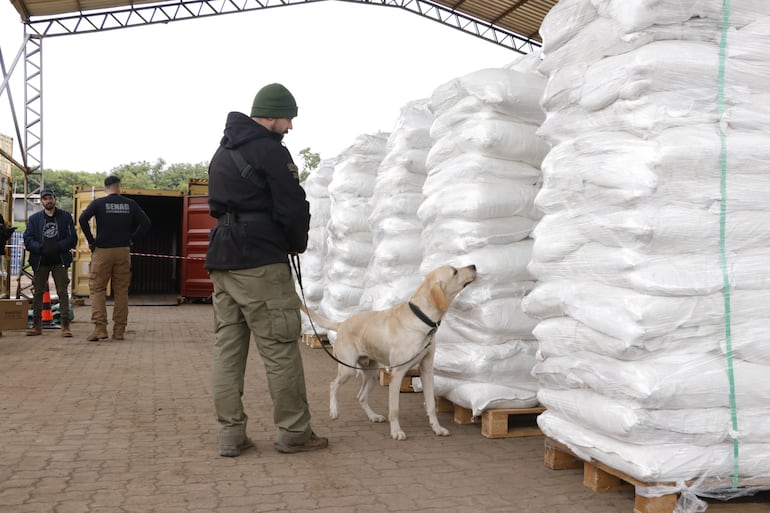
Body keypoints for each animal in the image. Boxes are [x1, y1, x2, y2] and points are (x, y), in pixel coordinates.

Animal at [300, 264, 474, 440]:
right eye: (455, 272)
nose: (473, 266)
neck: (421, 318)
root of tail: (341, 323)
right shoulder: (397, 373)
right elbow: (394, 409)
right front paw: (396, 431)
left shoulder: (426, 370)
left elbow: (431, 404)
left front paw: (437, 428)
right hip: (347, 369)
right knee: (332, 385)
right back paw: (334, 411)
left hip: (371, 375)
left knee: (361, 397)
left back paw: (373, 416)